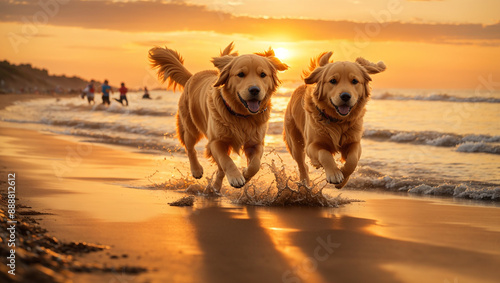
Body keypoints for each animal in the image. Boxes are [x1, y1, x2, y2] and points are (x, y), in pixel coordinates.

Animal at [148, 43, 288, 192]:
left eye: (263, 75)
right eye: (240, 74)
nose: (254, 90)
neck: (242, 116)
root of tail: (192, 77)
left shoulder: (256, 142)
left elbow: (255, 165)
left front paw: (245, 174)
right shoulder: (216, 141)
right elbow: (227, 160)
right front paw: (236, 177)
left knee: (220, 170)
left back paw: (215, 187)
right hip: (190, 127)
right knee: (190, 148)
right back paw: (196, 170)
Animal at [284, 52, 384, 190]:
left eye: (354, 81)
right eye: (333, 81)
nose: (345, 96)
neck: (338, 121)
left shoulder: (354, 142)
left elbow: (352, 160)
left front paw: (343, 179)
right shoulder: (312, 145)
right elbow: (324, 154)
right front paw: (334, 174)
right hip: (295, 143)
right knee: (302, 165)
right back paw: (306, 182)